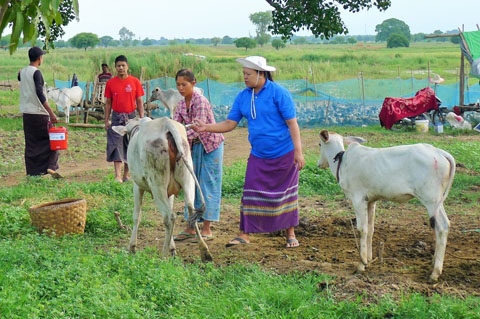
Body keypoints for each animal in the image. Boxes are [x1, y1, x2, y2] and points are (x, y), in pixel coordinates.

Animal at [112, 117, 212, 262]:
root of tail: (167, 124)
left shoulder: (137, 186)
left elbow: (137, 216)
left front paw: (132, 247)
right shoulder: (169, 192)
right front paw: (173, 248)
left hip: (156, 183)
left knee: (169, 217)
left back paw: (163, 255)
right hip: (187, 177)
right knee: (190, 210)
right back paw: (204, 252)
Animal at [316, 129, 456, 282]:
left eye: (319, 144)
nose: (319, 164)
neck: (342, 162)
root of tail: (439, 152)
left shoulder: (358, 199)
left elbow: (362, 230)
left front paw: (361, 264)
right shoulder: (371, 201)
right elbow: (370, 229)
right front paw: (369, 259)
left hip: (431, 199)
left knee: (442, 226)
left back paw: (435, 272)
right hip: (437, 201)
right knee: (442, 225)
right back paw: (434, 262)